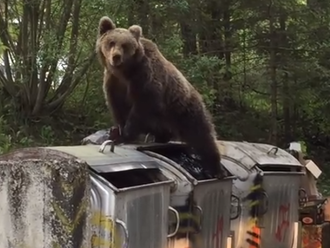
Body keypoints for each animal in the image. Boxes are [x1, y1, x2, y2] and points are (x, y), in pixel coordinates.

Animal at [95, 16, 227, 178]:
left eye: (125, 45)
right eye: (111, 42)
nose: (116, 57)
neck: (125, 72)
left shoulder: (144, 78)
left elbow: (142, 106)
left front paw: (126, 133)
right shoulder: (114, 82)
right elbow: (118, 106)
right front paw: (116, 131)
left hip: (184, 109)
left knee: (202, 135)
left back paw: (215, 168)